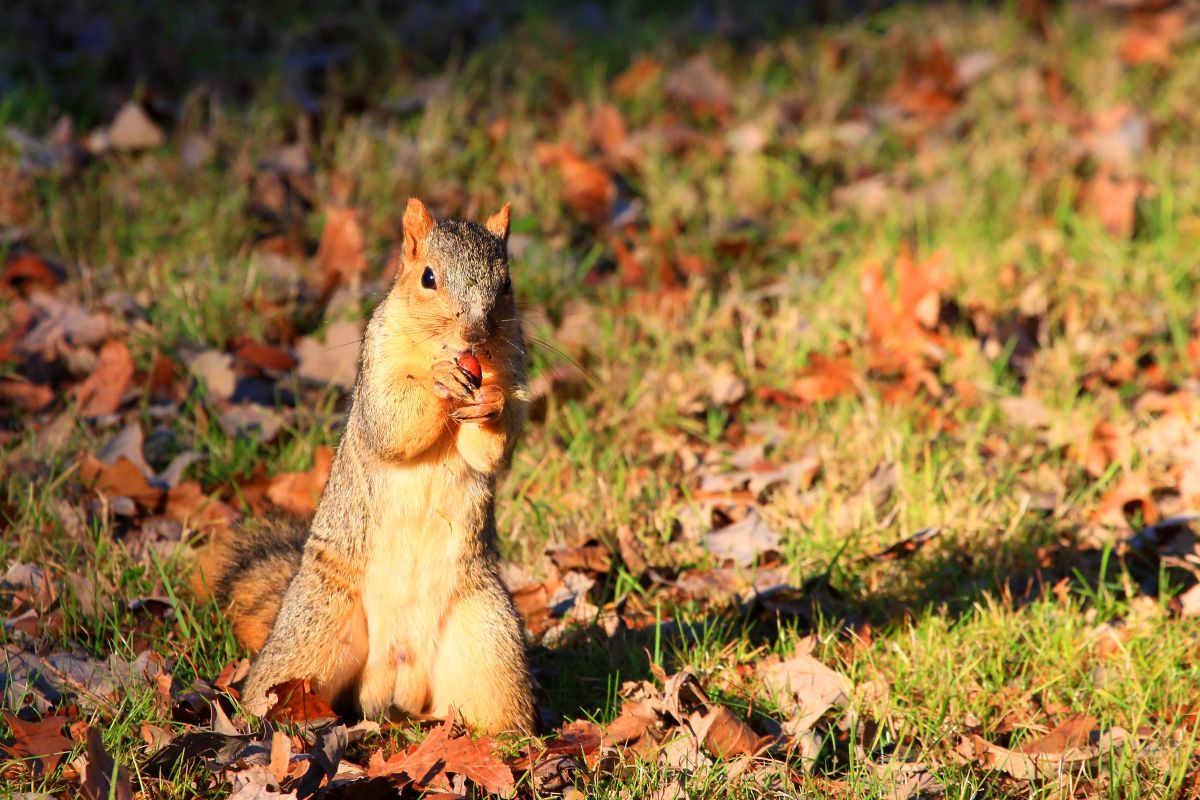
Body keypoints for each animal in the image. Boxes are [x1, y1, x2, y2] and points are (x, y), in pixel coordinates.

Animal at [192, 198, 534, 734]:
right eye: (428, 277)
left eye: (507, 285)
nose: (474, 335)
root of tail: (393, 686)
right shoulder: (377, 361)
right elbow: (391, 420)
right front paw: (437, 379)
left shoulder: (515, 368)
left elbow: (492, 449)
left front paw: (492, 404)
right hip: (316, 627)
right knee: (274, 687)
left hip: (488, 639)